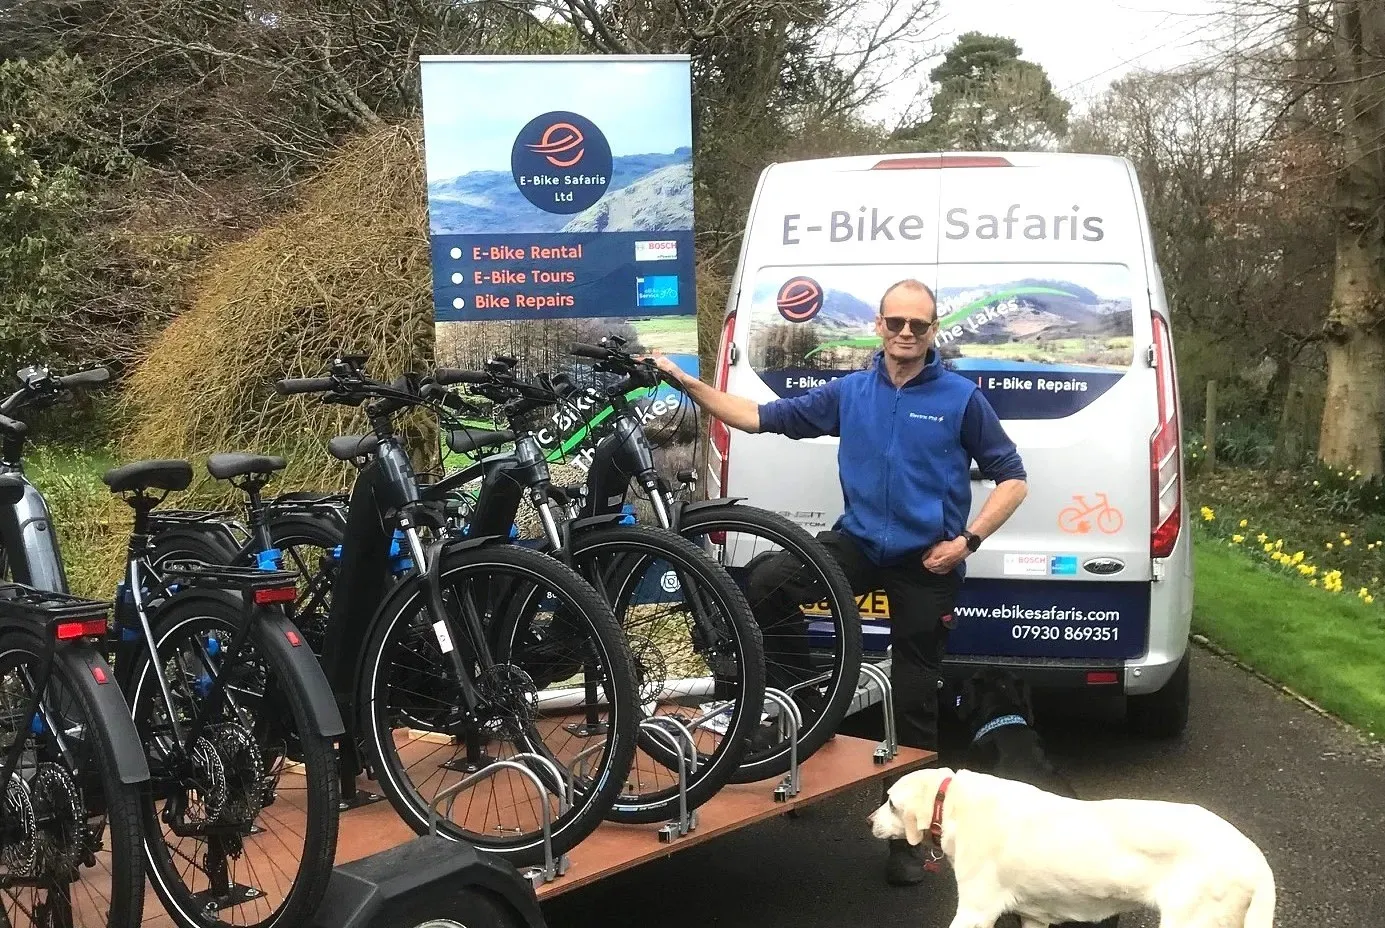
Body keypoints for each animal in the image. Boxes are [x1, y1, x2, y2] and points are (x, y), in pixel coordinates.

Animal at [864, 770, 1274, 928]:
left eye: (890, 803)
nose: (867, 821)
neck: (950, 804)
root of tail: (1255, 858)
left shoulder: (975, 913)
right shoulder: (1033, 917)